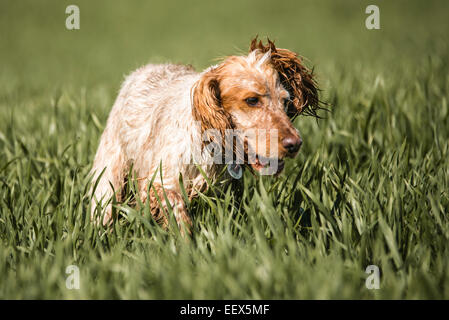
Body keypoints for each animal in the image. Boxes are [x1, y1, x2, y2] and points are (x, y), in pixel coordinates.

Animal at [91, 38, 320, 235]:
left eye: (285, 101)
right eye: (252, 100)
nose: (295, 144)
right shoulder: (160, 180)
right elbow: (178, 211)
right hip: (109, 177)